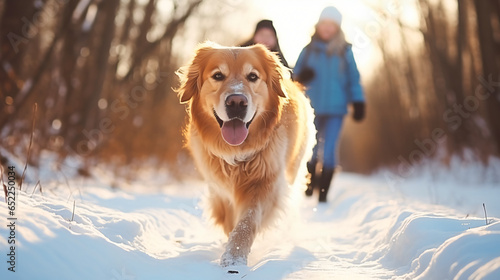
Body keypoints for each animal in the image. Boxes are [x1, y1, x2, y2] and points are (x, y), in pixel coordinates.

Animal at [178, 41, 314, 266]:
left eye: (252, 76)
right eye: (218, 75)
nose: (236, 102)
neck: (237, 152)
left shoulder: (265, 184)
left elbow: (247, 221)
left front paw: (235, 257)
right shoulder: (220, 191)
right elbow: (229, 221)